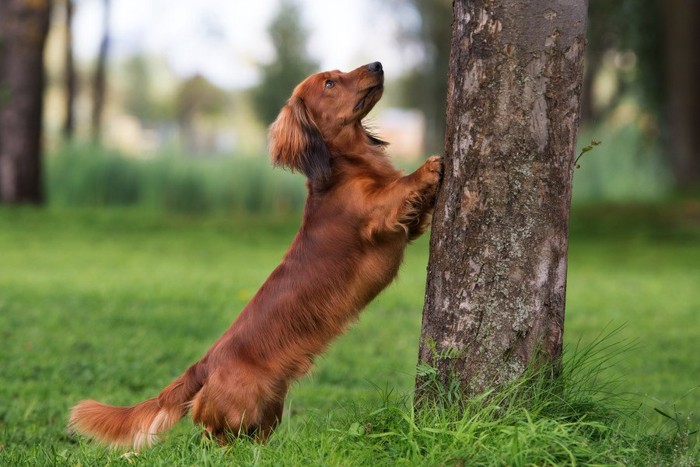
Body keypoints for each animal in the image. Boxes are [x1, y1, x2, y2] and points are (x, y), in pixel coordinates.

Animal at [68, 62, 440, 450]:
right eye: (330, 83)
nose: (377, 65)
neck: (347, 168)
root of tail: (204, 364)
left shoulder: (407, 226)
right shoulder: (377, 214)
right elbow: (402, 188)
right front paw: (431, 165)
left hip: (271, 406)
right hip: (240, 407)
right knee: (212, 436)